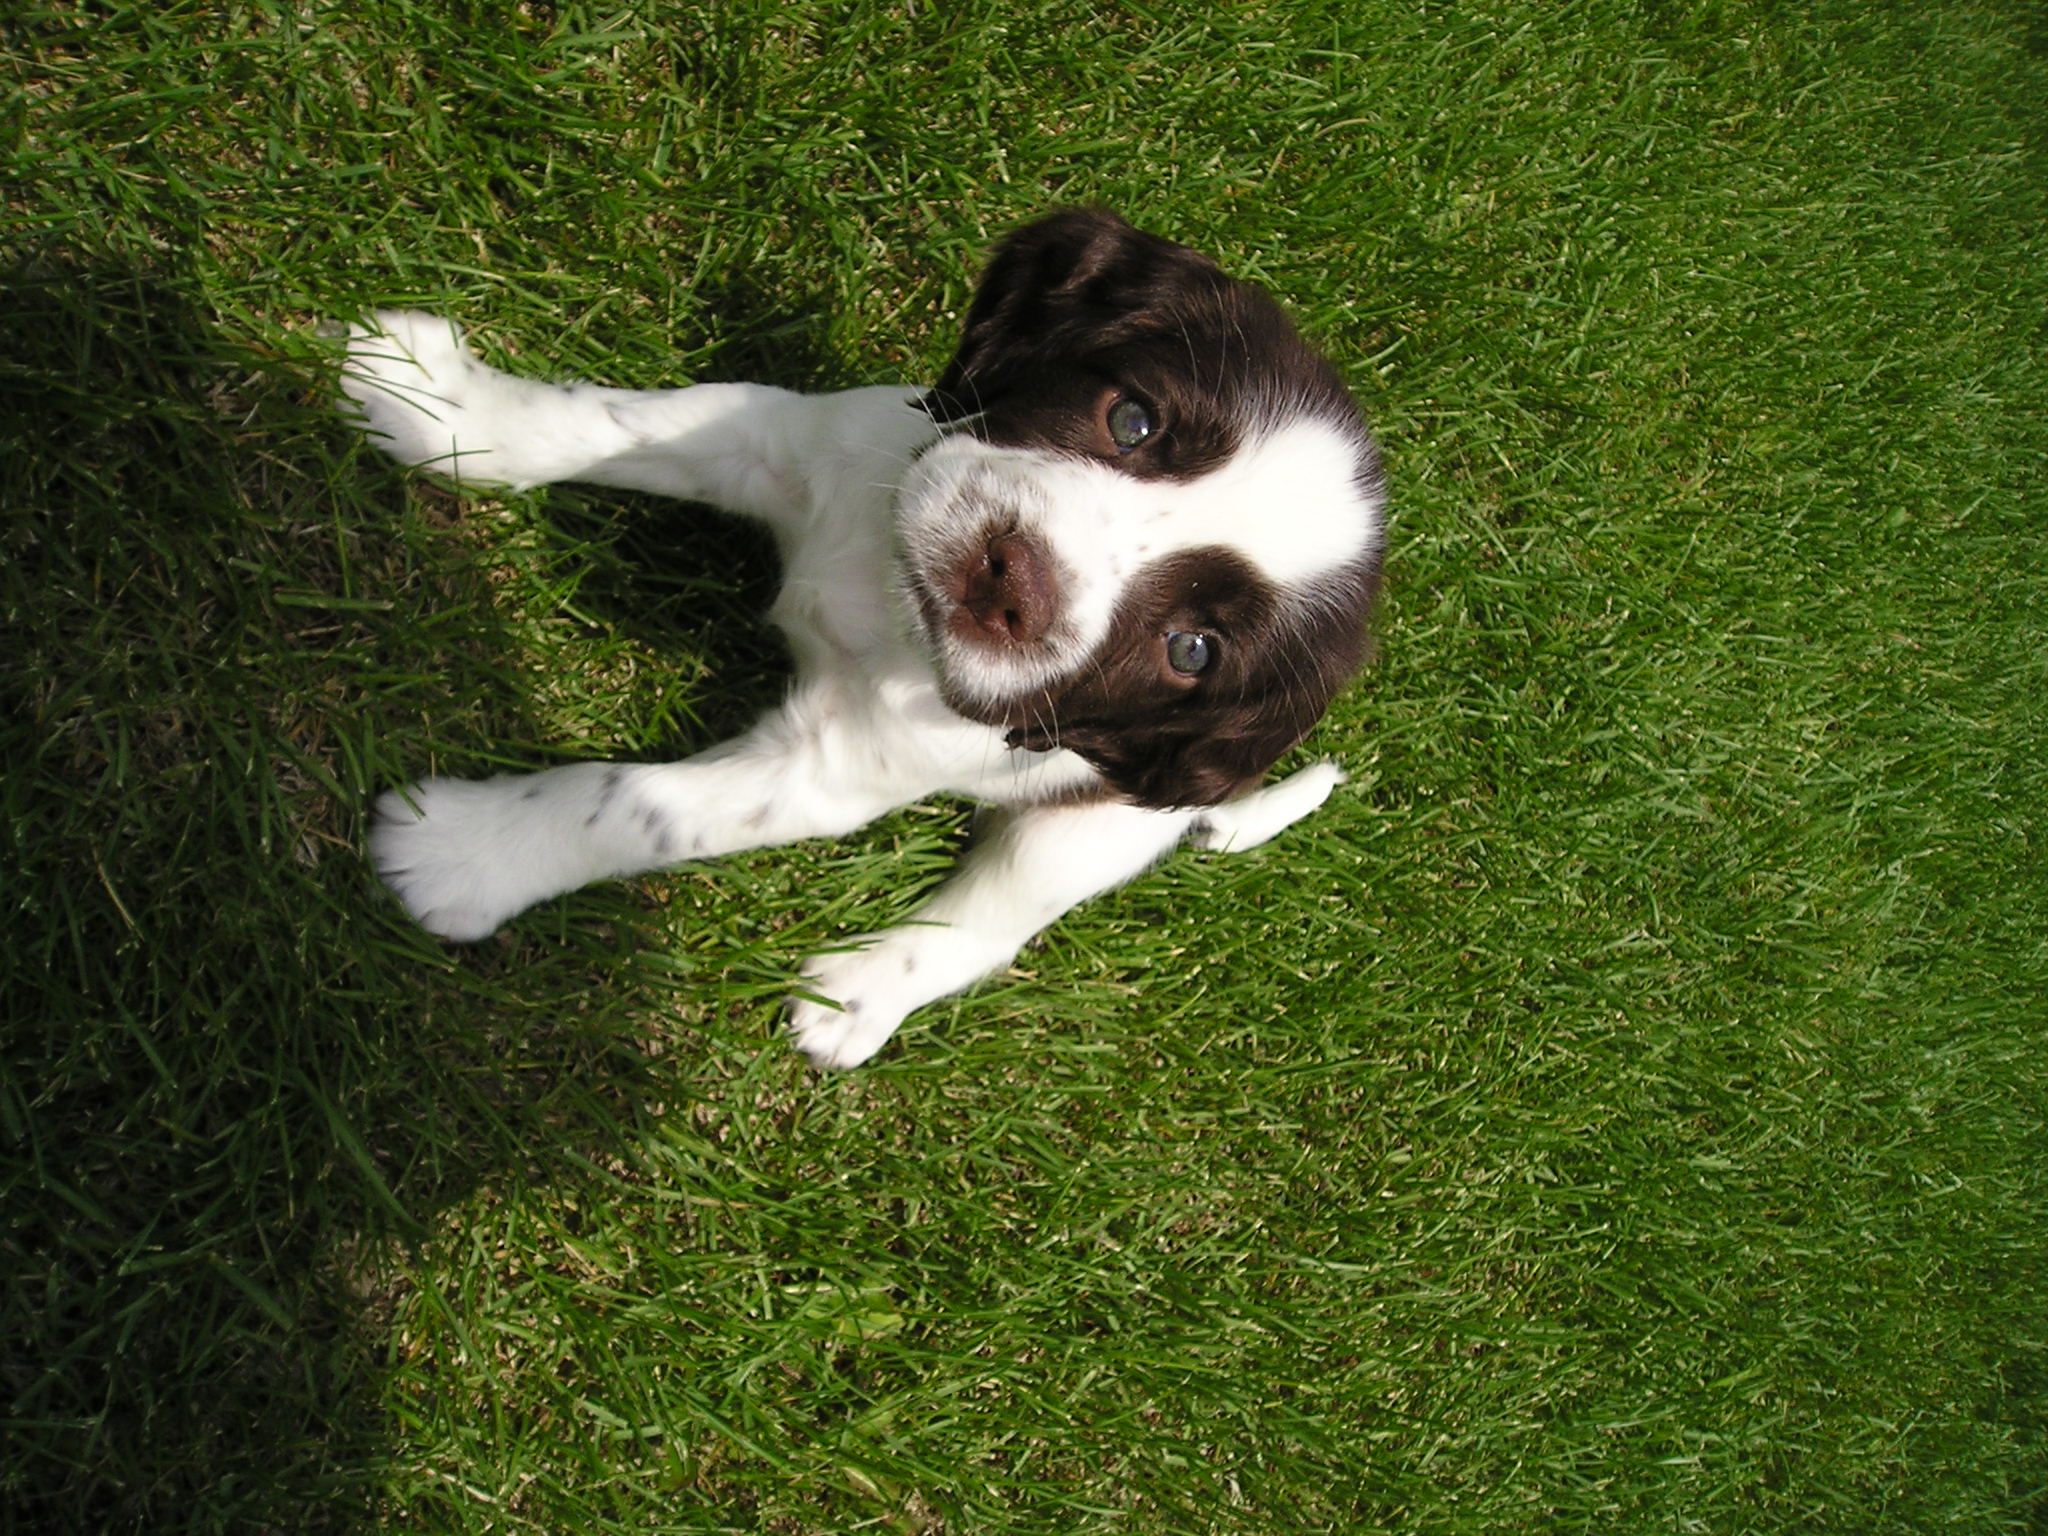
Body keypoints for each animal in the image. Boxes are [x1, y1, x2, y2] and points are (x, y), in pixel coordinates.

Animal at [344, 207, 1384, 1073]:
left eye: (1192, 652)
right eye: (1131, 419)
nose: (1016, 582)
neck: (890, 604)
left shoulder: (823, 769)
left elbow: (630, 804)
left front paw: (467, 851)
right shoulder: (792, 438)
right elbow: (601, 423)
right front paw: (436, 404)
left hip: (1100, 827)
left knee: (994, 916)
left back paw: (857, 996)